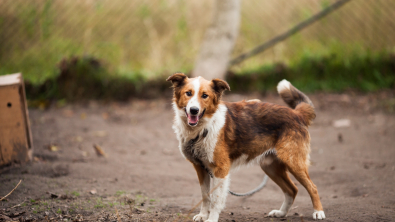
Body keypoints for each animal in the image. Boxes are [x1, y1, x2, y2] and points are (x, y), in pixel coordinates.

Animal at [167, 73, 324, 222]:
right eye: (188, 93)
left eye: (205, 95)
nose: (194, 110)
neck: (203, 128)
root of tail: (297, 114)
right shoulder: (201, 168)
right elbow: (205, 196)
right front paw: (203, 215)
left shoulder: (220, 169)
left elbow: (216, 199)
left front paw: (211, 219)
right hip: (270, 167)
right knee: (292, 189)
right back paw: (281, 213)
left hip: (294, 163)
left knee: (313, 187)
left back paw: (318, 212)